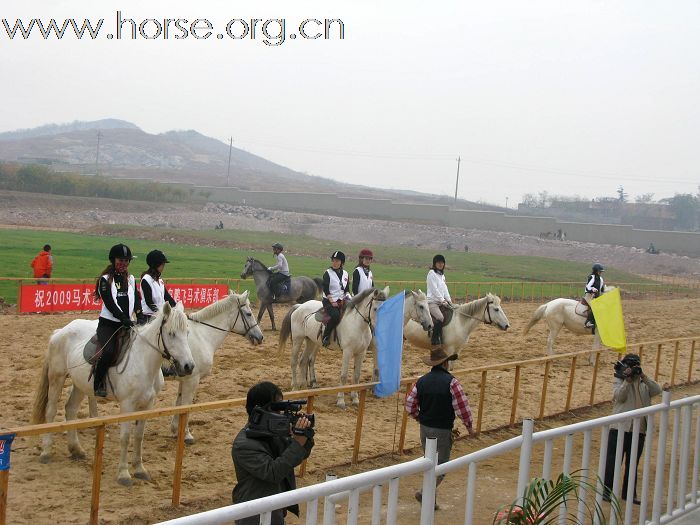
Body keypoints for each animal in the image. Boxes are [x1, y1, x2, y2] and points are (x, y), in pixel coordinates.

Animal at [30, 300, 194, 486]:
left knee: (70, 409)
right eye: (171, 334)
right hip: (56, 377)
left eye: (187, 332)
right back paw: (46, 452)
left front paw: (139, 469)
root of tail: (59, 332)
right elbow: (125, 437)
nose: (188, 366)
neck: (143, 360)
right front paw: (123, 474)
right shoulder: (127, 404)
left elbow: (139, 436)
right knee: (50, 411)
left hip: (80, 384)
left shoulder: (148, 404)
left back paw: (76, 449)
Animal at [170, 290, 266, 442]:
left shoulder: (185, 379)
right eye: (249, 314)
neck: (202, 335)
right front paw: (186, 434)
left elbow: (179, 403)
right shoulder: (192, 380)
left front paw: (175, 430)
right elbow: (186, 405)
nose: (260, 337)